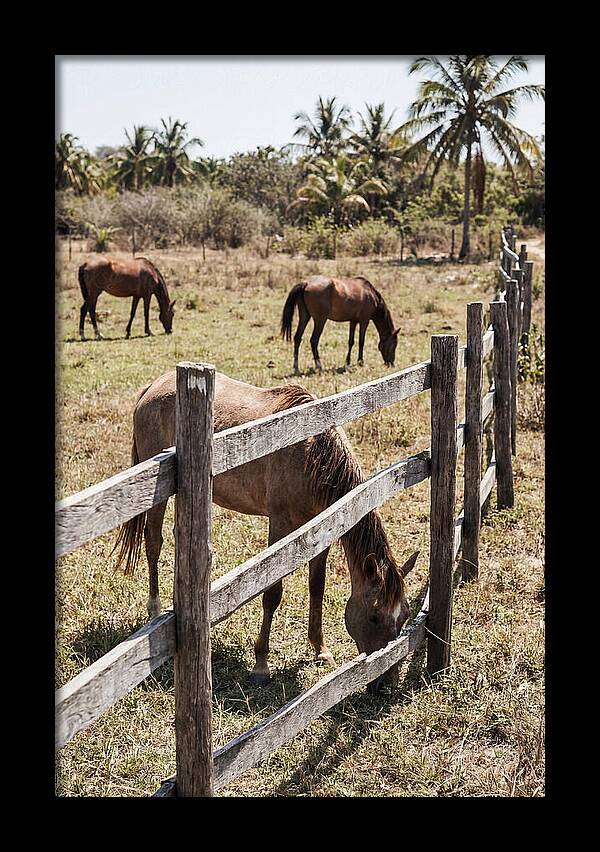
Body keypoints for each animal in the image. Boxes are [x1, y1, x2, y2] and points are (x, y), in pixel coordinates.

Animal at [113, 370, 419, 693]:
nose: (386, 682)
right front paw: (261, 664)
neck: (312, 454)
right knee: (153, 544)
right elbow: (272, 593)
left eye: (404, 616)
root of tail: (154, 386)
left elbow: (317, 586)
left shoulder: (322, 528)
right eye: (374, 617)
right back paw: (155, 611)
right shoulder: (280, 524)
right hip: (155, 494)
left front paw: (320, 649)